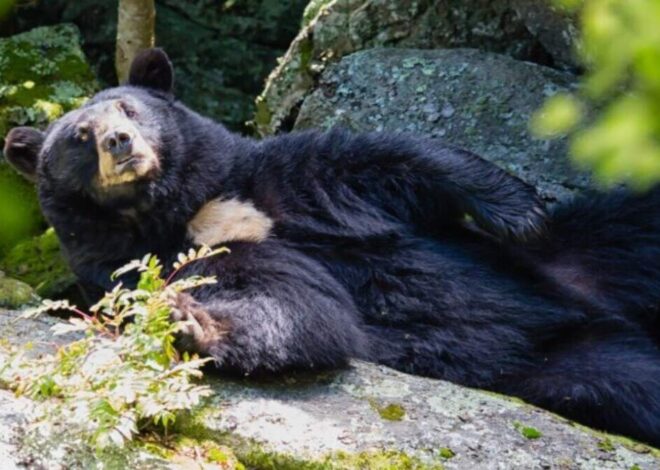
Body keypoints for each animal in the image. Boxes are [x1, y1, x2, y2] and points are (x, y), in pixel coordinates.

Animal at [4, 49, 660, 446]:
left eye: (129, 107)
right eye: (78, 138)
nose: (119, 140)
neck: (189, 209)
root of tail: (577, 314)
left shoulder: (280, 179)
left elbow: (391, 158)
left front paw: (518, 209)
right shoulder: (171, 262)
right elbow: (297, 305)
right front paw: (192, 323)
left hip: (592, 248)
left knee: (631, 226)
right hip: (565, 368)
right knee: (628, 377)